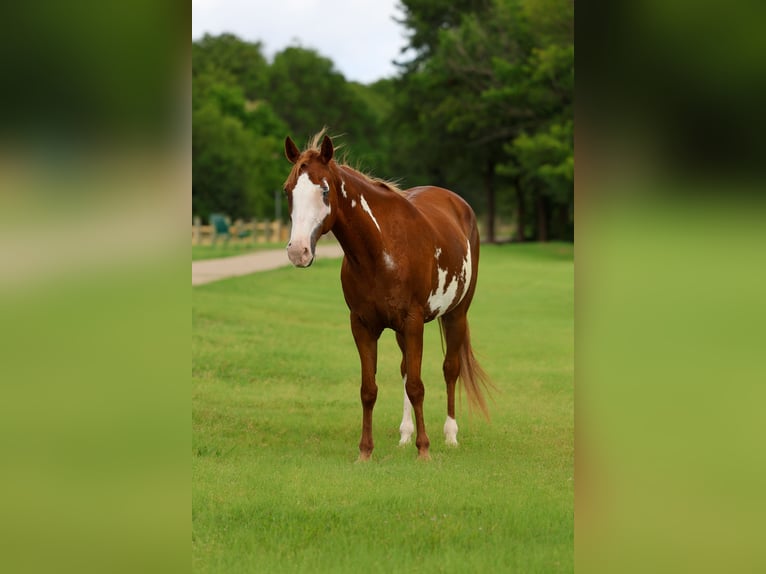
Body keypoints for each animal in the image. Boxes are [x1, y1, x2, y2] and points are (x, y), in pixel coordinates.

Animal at [282, 130, 492, 460]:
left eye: (325, 190)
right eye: (288, 190)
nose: (298, 251)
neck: (381, 250)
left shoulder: (414, 321)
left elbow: (418, 386)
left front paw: (424, 450)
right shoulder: (363, 325)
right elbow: (370, 389)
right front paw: (365, 452)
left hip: (456, 314)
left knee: (450, 369)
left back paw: (450, 435)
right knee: (406, 370)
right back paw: (405, 434)